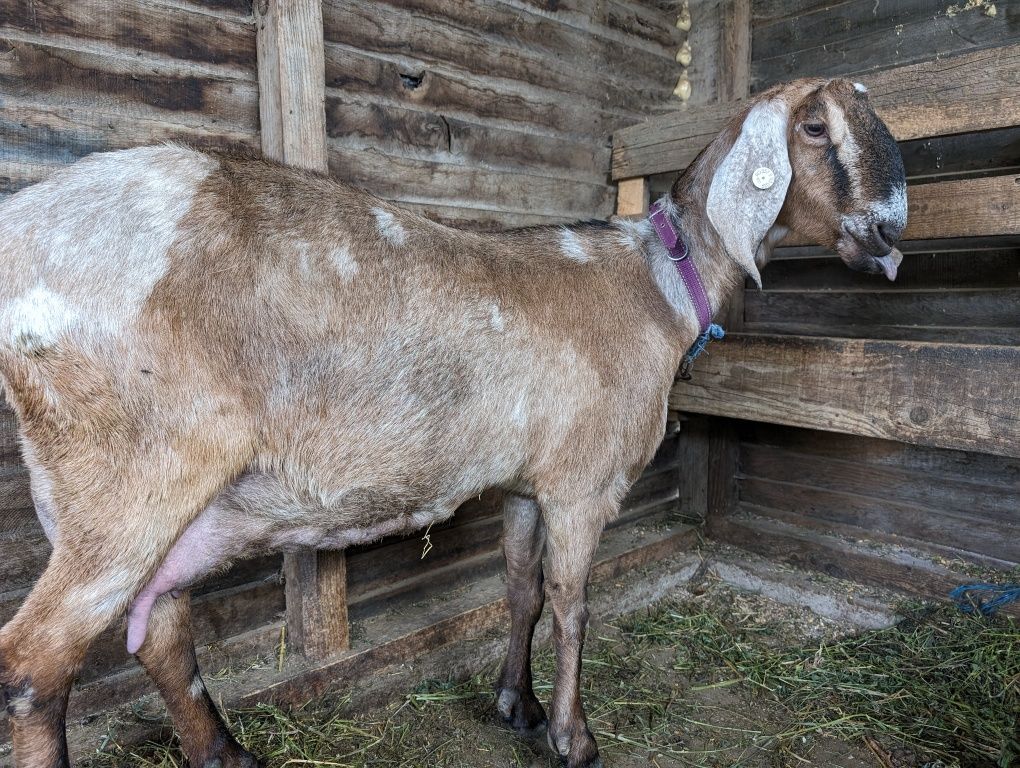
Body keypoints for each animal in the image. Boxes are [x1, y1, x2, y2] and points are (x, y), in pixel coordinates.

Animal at [0, 78, 909, 766]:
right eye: (817, 128)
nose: (891, 232)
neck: (657, 287)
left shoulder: (524, 483)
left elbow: (519, 590)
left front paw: (517, 704)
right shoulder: (581, 483)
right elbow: (573, 602)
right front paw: (574, 738)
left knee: (159, 632)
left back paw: (228, 754)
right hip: (130, 473)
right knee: (34, 666)